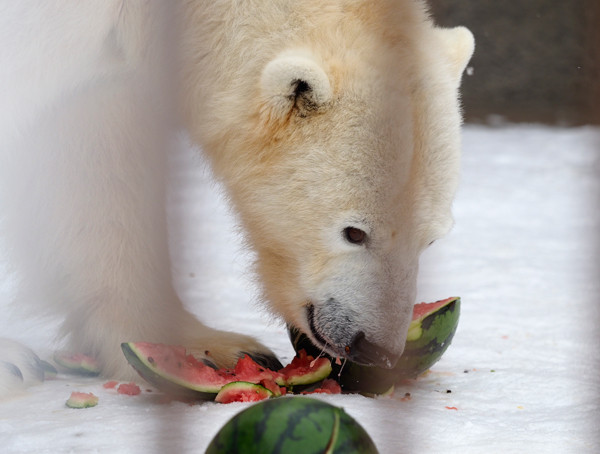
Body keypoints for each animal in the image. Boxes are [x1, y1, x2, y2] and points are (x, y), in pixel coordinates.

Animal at [0, 0, 474, 390]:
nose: (374, 347)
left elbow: (91, 165)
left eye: (430, 239)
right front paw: (12, 362)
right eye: (354, 233)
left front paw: (209, 348)